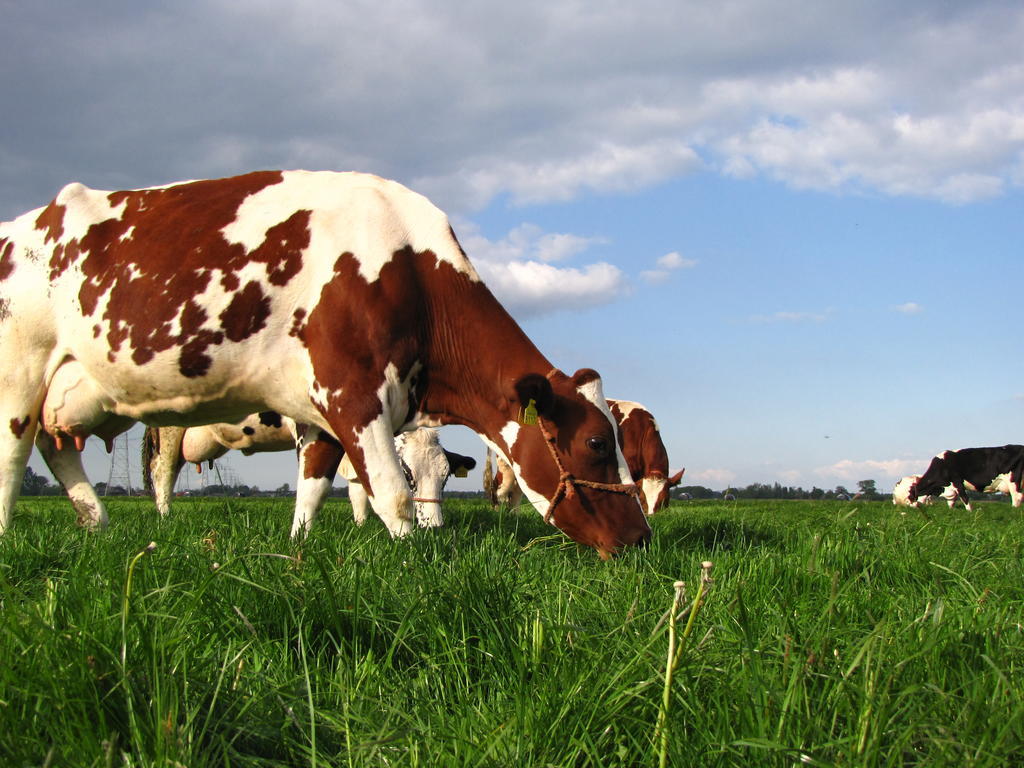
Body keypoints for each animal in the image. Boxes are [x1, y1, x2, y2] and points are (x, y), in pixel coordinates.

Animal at [144, 417, 475, 532]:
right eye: (407, 474)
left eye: (446, 476)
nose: (435, 526)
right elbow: (311, 487)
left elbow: (359, 493)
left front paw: (360, 525)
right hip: (169, 429)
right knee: (163, 474)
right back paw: (165, 519)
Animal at [479, 397, 679, 518]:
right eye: (644, 499)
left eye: (665, 501)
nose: (653, 517)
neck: (639, 430)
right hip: (505, 465)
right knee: (498, 488)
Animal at [888, 444, 1024, 512]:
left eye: (909, 498)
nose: (914, 509)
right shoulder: (950, 491)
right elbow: (951, 503)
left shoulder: (957, 481)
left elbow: (965, 498)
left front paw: (970, 512)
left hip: (1013, 481)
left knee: (1017, 497)